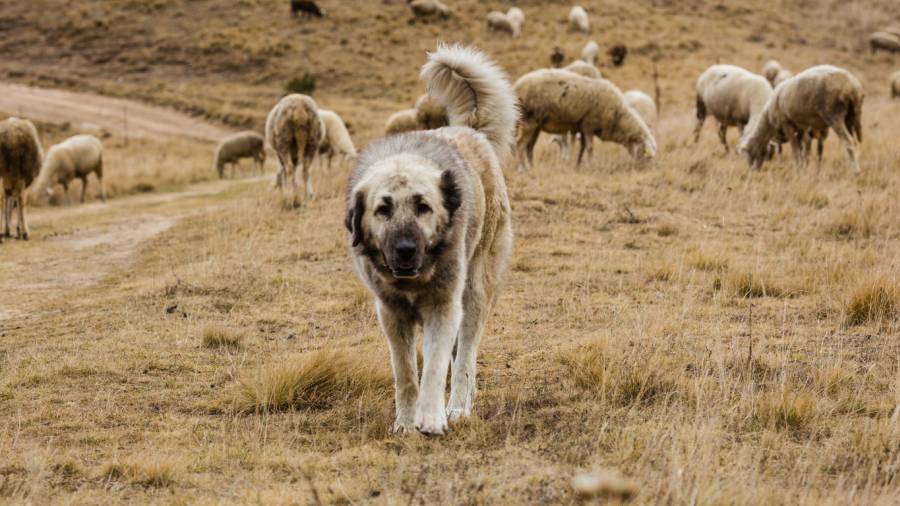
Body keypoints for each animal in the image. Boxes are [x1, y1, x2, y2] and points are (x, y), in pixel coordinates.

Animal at [344, 44, 512, 434]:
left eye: (423, 206)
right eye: (383, 209)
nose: (406, 251)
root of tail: (468, 130)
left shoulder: (444, 306)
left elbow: (434, 367)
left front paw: (432, 418)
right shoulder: (391, 315)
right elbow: (406, 374)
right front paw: (406, 423)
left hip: (474, 289)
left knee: (465, 354)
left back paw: (459, 406)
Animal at [516, 68, 656, 170]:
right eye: (647, 155)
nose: (644, 169)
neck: (617, 116)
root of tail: (518, 86)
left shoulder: (582, 127)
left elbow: (582, 147)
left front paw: (578, 165)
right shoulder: (589, 125)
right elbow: (589, 148)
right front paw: (591, 166)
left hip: (537, 125)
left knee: (529, 146)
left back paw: (533, 167)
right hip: (529, 120)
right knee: (520, 144)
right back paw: (523, 169)